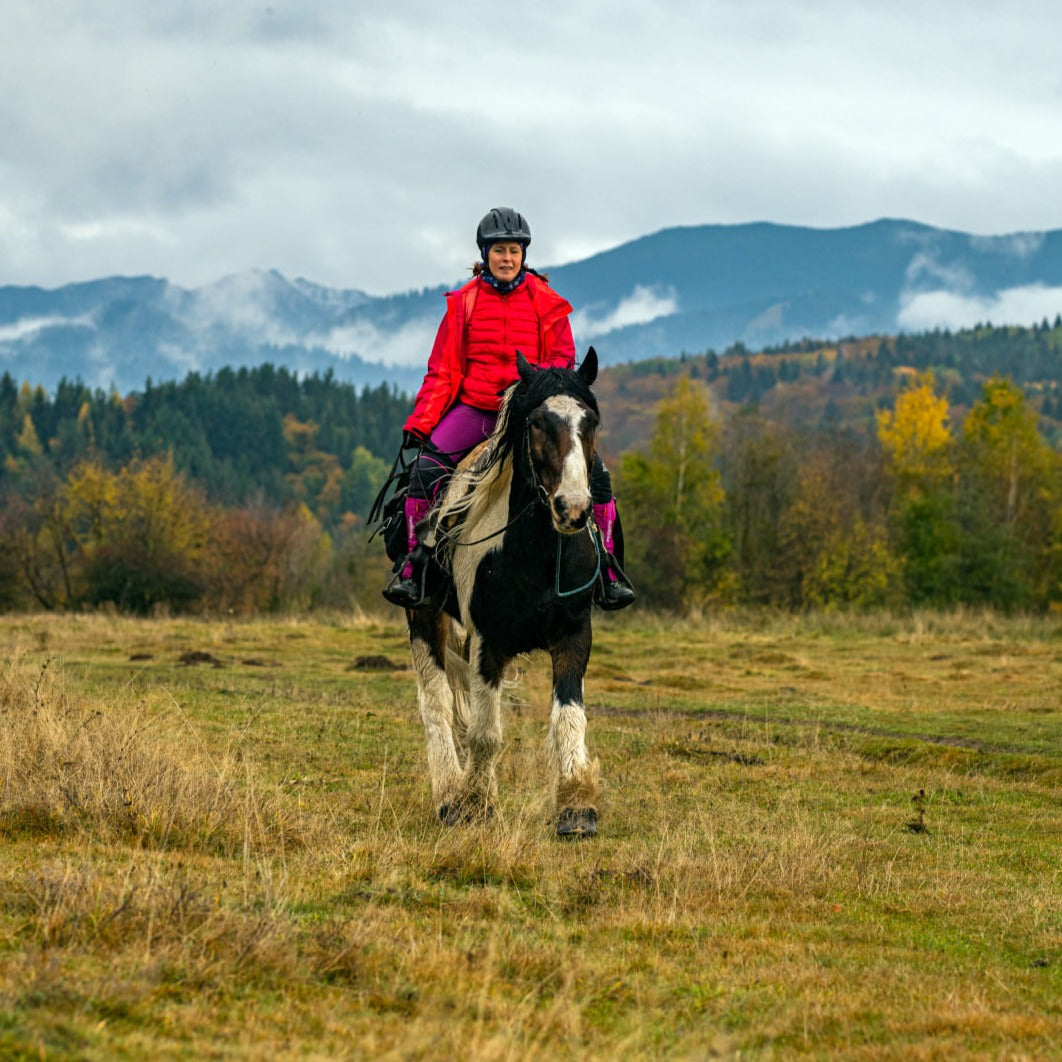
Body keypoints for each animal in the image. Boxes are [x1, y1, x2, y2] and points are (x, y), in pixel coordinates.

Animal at [405, 348, 607, 836]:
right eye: (536, 422)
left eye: (591, 420)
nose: (573, 508)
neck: (535, 555)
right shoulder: (488, 641)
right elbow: (484, 733)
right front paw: (476, 804)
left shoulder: (575, 633)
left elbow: (569, 719)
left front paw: (576, 807)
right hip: (424, 616)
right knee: (436, 702)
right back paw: (448, 793)